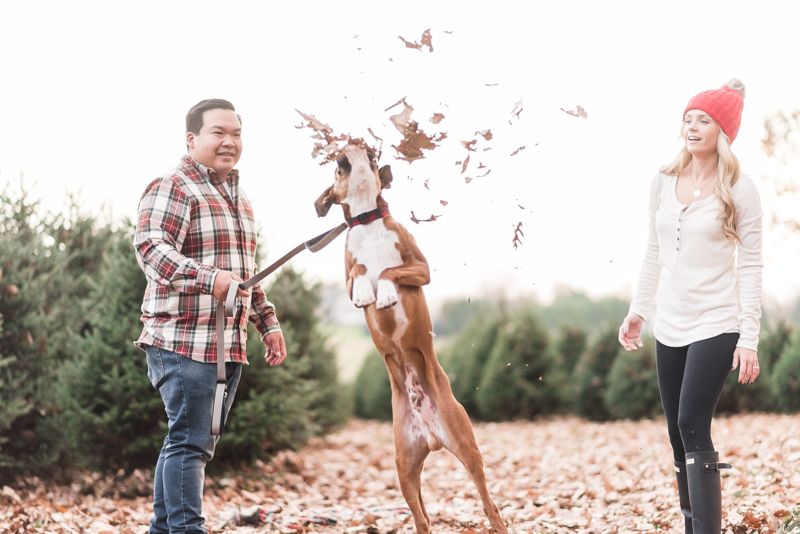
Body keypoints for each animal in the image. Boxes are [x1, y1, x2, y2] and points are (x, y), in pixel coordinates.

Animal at [314, 142, 506, 534]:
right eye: (337, 170)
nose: (348, 147)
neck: (368, 221)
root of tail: (430, 434)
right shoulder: (346, 280)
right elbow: (362, 270)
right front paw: (368, 292)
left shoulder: (420, 267)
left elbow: (389, 269)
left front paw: (386, 292)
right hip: (404, 469)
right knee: (422, 517)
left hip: (467, 449)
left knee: (489, 504)